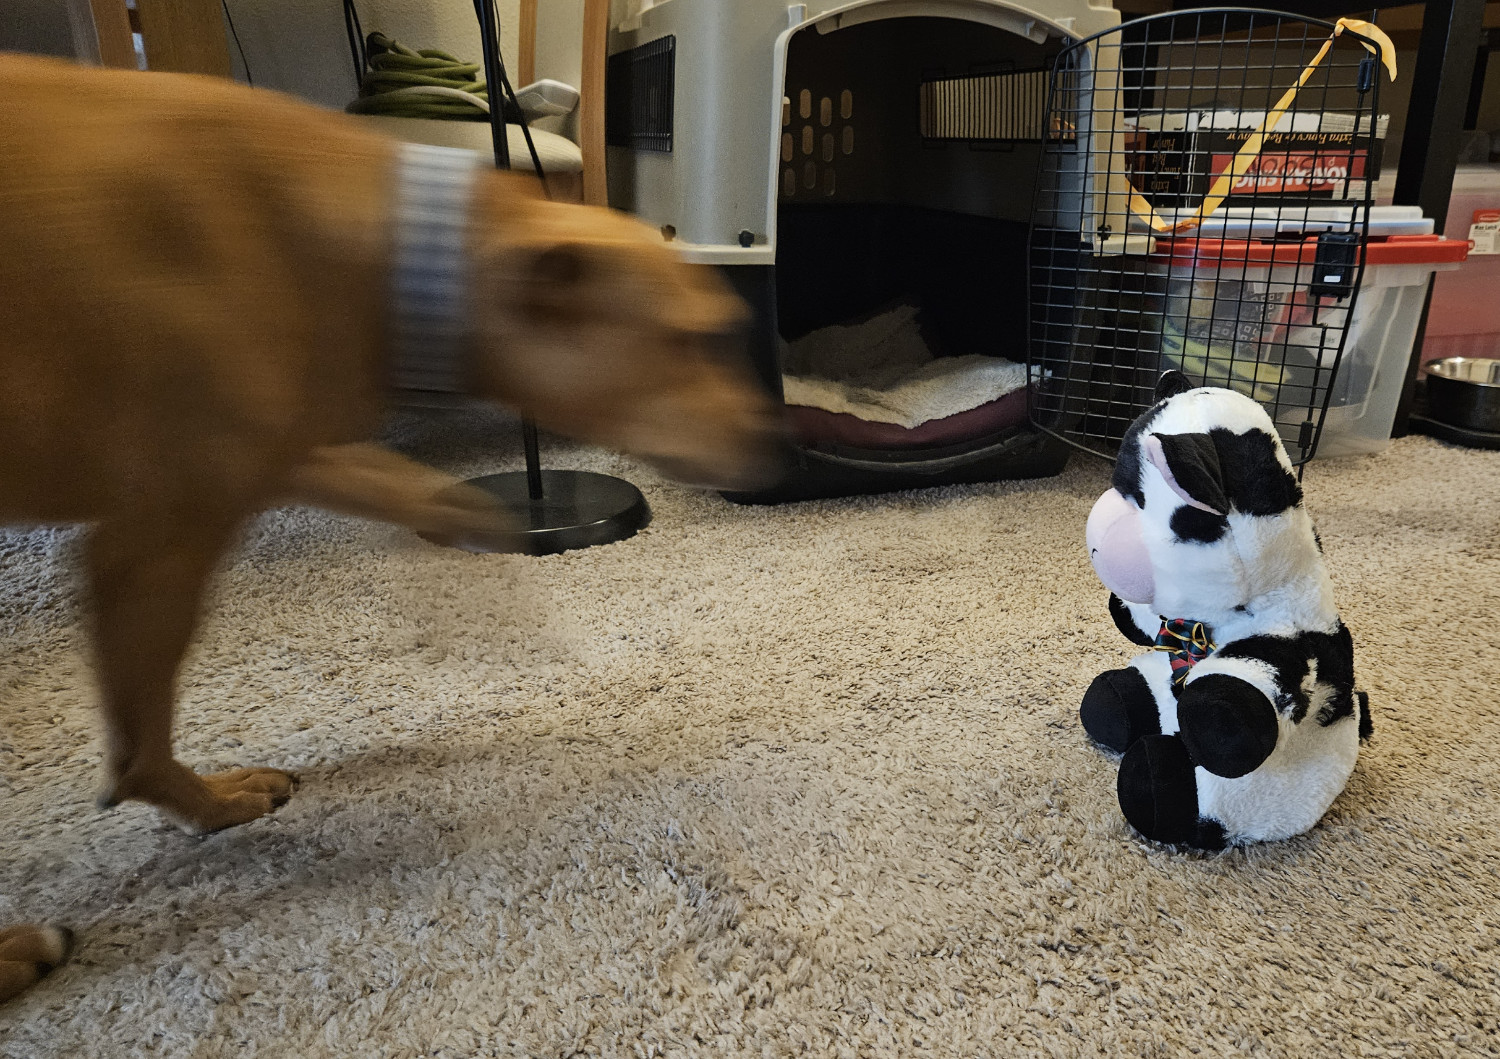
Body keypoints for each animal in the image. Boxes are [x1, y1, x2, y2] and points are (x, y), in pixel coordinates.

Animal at [0, 55, 780, 996]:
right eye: (691, 340)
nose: (783, 443)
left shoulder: (279, 449)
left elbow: (419, 490)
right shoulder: (155, 535)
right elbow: (138, 739)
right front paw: (208, 804)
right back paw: (15, 950)